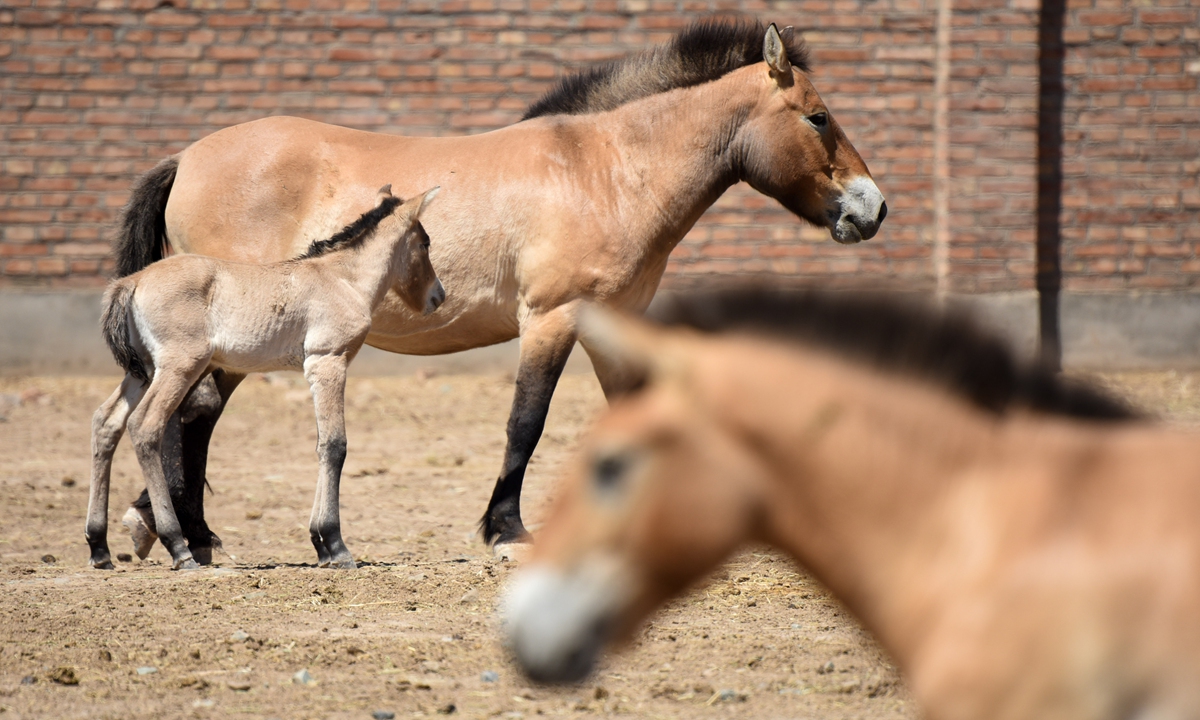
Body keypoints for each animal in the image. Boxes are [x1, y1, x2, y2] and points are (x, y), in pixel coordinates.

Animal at [87, 187, 442, 570]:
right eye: (425, 243)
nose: (439, 296)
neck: (342, 279)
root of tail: (132, 281)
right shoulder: (328, 361)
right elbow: (335, 446)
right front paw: (335, 544)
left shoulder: (317, 368)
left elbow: (322, 445)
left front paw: (320, 545)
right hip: (180, 365)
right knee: (145, 425)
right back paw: (178, 546)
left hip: (143, 372)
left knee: (106, 421)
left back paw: (99, 547)